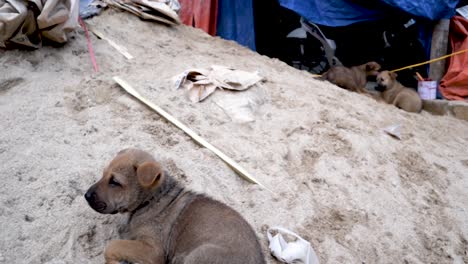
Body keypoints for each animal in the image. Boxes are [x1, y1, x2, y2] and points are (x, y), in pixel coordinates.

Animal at [84, 148, 266, 264]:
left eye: (115, 182)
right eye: (103, 174)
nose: (86, 196)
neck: (151, 200)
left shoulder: (154, 250)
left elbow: (112, 245)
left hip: (198, 255)